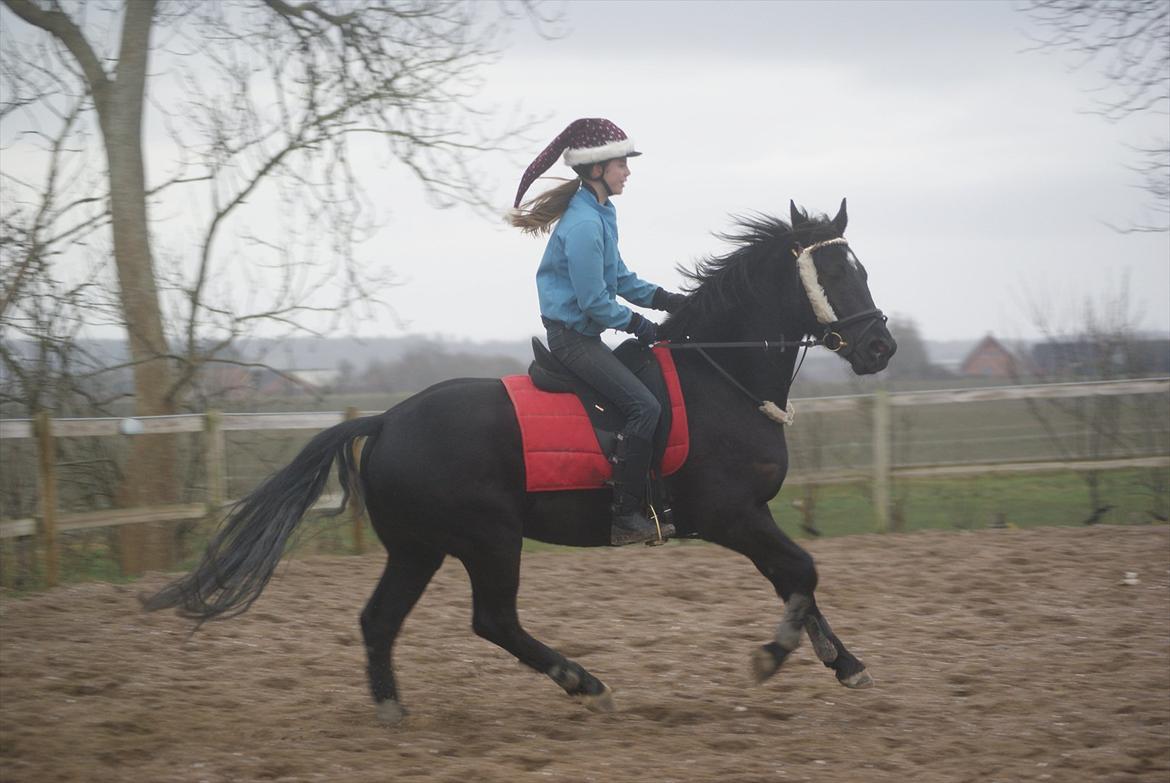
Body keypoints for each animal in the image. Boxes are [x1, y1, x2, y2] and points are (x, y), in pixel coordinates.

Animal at [143, 198, 893, 725]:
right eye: (833, 271)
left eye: (860, 268)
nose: (879, 347)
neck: (720, 377)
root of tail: (386, 421)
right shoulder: (729, 514)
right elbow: (802, 570)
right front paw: (772, 657)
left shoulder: (751, 515)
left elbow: (795, 579)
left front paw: (844, 661)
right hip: (489, 539)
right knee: (493, 621)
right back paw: (586, 684)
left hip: (419, 548)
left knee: (379, 620)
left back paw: (392, 708)